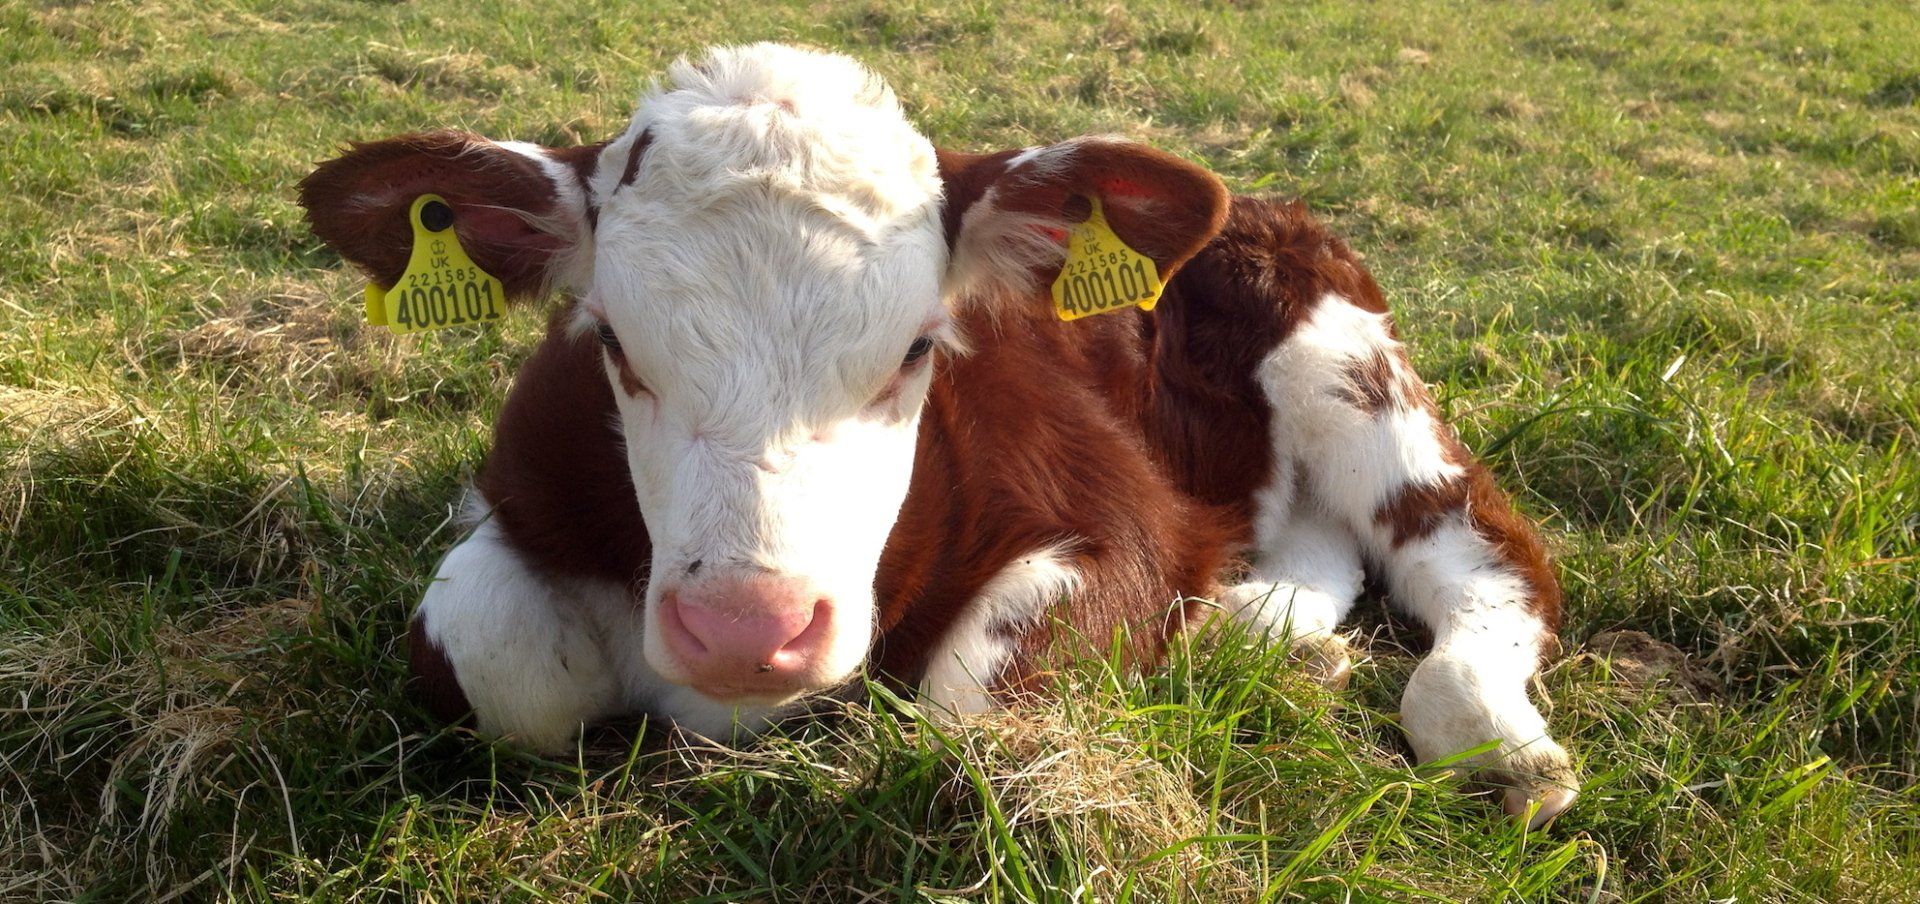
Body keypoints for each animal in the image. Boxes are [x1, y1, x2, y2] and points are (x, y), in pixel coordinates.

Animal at [299, 43, 1577, 826]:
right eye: (611, 340)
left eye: (918, 348)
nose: (747, 629)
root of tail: (1260, 200)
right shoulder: (514, 495)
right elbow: (494, 657)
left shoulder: (1124, 509)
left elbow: (975, 695)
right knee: (1317, 549)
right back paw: (1259, 636)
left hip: (1344, 362)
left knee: (1483, 554)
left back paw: (1497, 740)